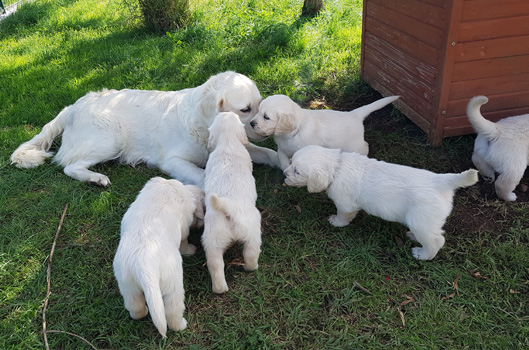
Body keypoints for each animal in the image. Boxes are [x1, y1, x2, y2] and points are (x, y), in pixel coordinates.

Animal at [10, 69, 278, 187]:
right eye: (245, 109)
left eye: (260, 105)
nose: (260, 126)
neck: (203, 126)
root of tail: (73, 106)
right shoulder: (172, 161)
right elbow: (202, 175)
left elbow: (268, 153)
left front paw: (281, 161)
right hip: (111, 139)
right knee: (68, 165)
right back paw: (96, 178)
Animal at [112, 178, 203, 336]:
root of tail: (145, 267)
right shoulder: (184, 225)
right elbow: (184, 240)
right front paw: (189, 250)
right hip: (173, 282)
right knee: (172, 310)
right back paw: (180, 325)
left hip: (127, 283)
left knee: (135, 306)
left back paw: (141, 313)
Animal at [201, 112, 260, 292]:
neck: (228, 143)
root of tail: (228, 208)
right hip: (252, 230)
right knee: (250, 256)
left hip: (215, 241)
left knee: (217, 266)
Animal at [250, 93, 398, 170]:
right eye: (258, 112)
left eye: (266, 117)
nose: (251, 123)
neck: (291, 134)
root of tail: (355, 114)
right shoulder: (282, 148)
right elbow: (281, 157)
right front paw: (286, 167)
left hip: (354, 145)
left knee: (365, 146)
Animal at [284, 145, 478, 260]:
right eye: (291, 163)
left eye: (297, 171)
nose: (284, 175)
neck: (337, 167)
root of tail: (441, 181)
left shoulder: (345, 204)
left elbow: (344, 215)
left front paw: (336, 222)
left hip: (421, 220)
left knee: (436, 241)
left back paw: (421, 254)